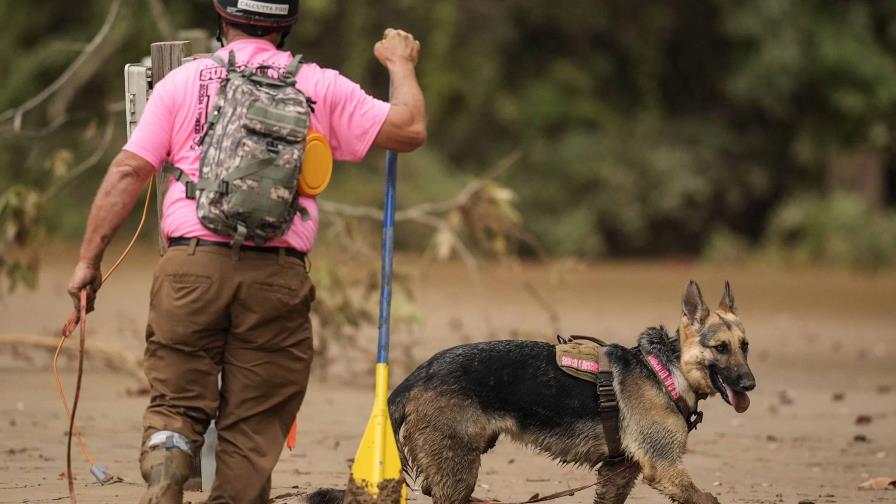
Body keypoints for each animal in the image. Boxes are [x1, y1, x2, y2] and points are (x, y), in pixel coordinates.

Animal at [312, 282, 752, 502]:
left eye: (745, 346)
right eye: (720, 348)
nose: (750, 385)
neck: (666, 370)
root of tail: (413, 377)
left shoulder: (617, 474)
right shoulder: (664, 469)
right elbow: (707, 500)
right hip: (459, 467)